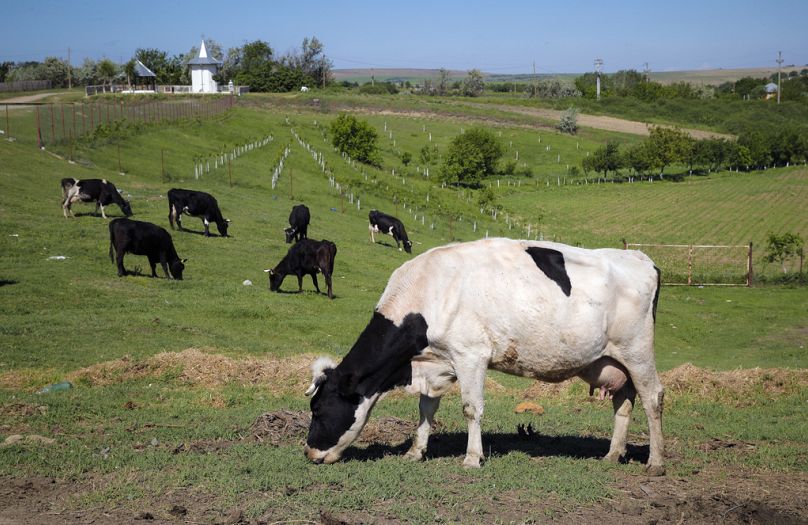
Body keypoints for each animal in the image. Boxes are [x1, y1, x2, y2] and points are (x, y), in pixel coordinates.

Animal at [304, 237, 664, 474]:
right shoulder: (437, 362)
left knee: (653, 398)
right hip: (614, 361)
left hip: (637, 350)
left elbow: (471, 408)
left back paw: (656, 462)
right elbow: (426, 408)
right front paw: (415, 451)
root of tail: (641, 259)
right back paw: (613, 454)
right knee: (624, 402)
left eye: (318, 409)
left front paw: (472, 457)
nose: (308, 452)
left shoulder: (471, 355)